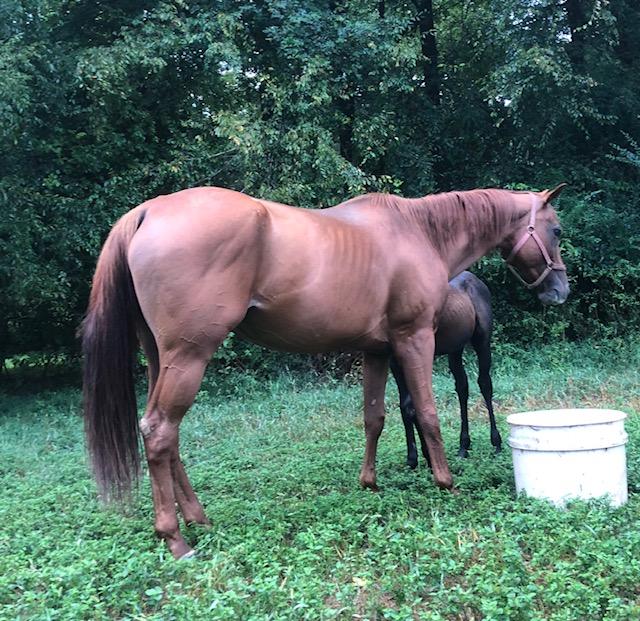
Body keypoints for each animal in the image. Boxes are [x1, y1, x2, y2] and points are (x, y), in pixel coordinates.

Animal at [390, 271, 499, 470]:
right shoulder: (393, 361)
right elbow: (406, 405)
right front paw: (413, 458)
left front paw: (427, 457)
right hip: (455, 348)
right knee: (462, 387)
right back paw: (463, 446)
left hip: (482, 340)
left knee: (485, 384)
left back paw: (496, 443)